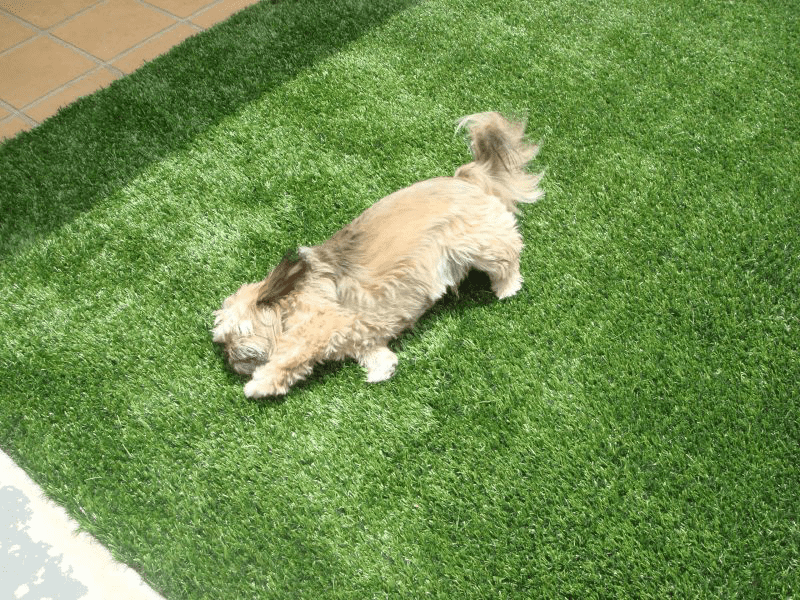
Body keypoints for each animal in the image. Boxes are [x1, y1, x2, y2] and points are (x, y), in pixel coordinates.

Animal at [212, 112, 543, 397]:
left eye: (233, 334)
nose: (229, 358)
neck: (288, 303)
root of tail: (464, 177)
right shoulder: (360, 333)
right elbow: (374, 353)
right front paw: (382, 369)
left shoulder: (316, 330)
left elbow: (288, 357)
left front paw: (260, 384)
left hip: (477, 244)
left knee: (508, 251)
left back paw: (507, 286)